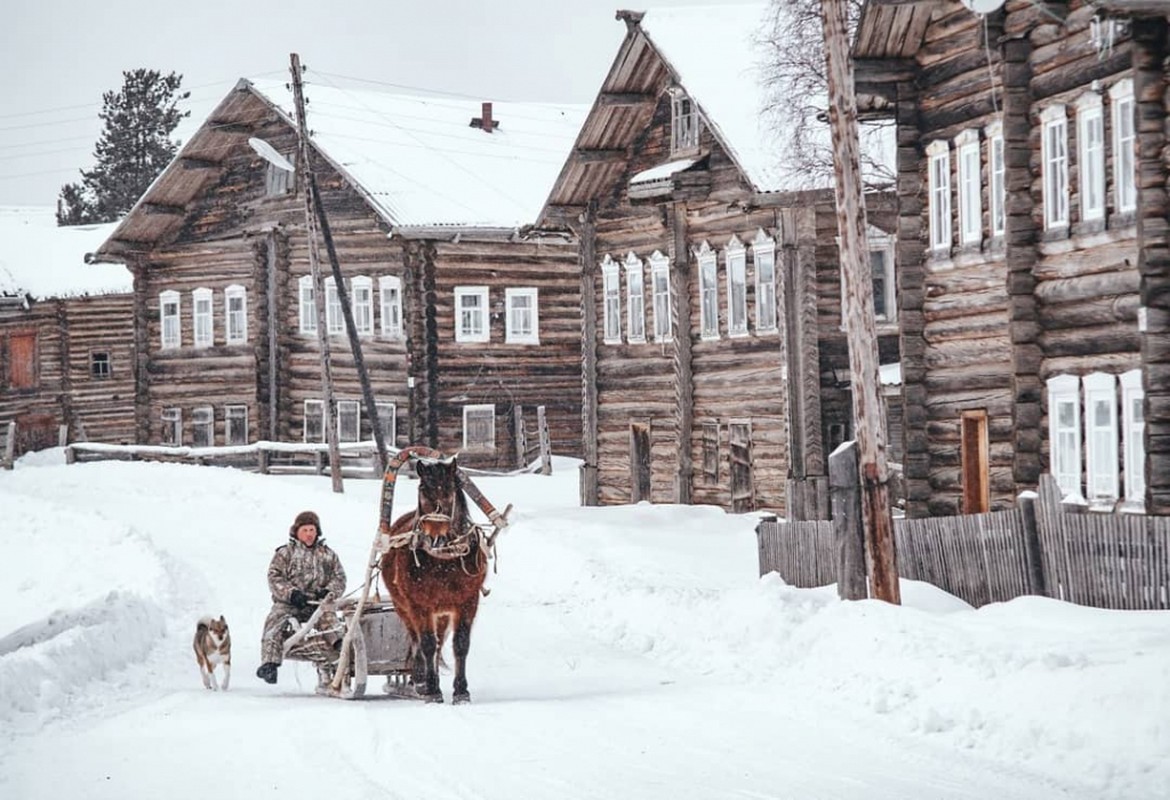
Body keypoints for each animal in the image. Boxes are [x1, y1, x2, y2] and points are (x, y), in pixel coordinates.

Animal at [381, 453, 486, 701]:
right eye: (422, 488)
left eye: (449, 488)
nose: (435, 536)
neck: (443, 557)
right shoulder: (419, 605)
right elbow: (426, 644)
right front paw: (431, 689)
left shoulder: (467, 602)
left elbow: (460, 644)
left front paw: (461, 691)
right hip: (403, 606)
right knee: (417, 640)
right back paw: (419, 678)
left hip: (442, 612)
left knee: (439, 643)